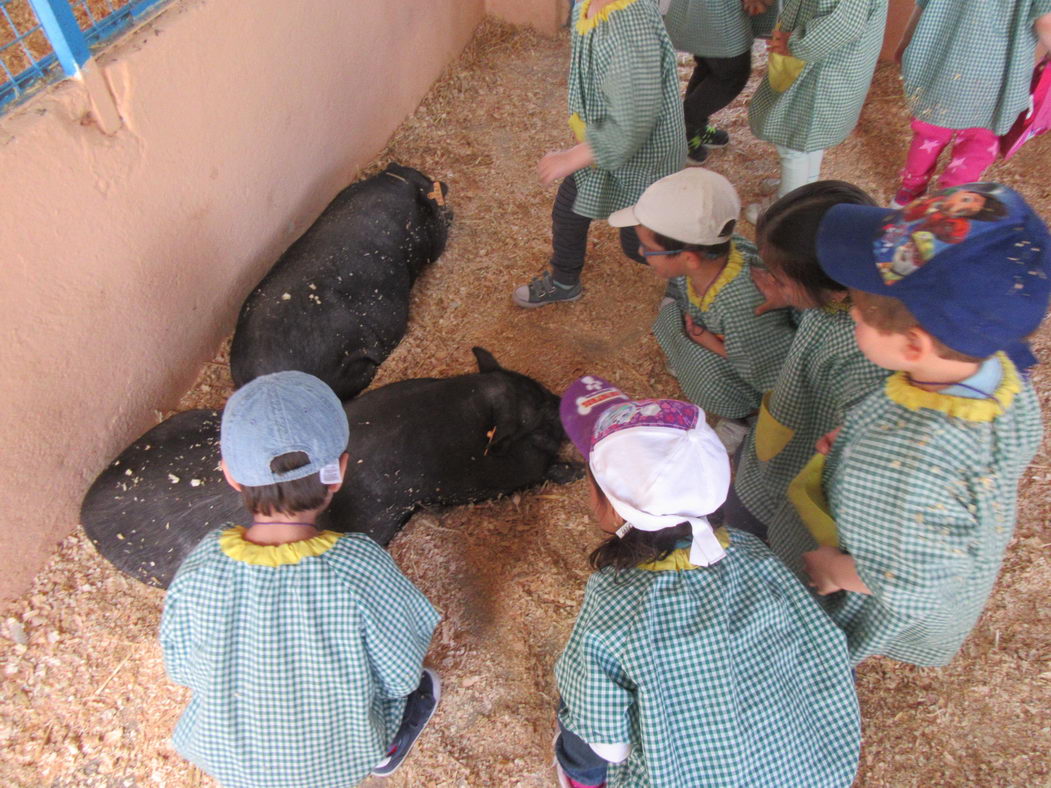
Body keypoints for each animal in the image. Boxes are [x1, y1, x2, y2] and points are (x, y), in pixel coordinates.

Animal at [77, 348, 580, 588]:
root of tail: (85, 514)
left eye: (539, 388)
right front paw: (568, 469)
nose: (564, 401)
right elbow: (526, 471)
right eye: (537, 411)